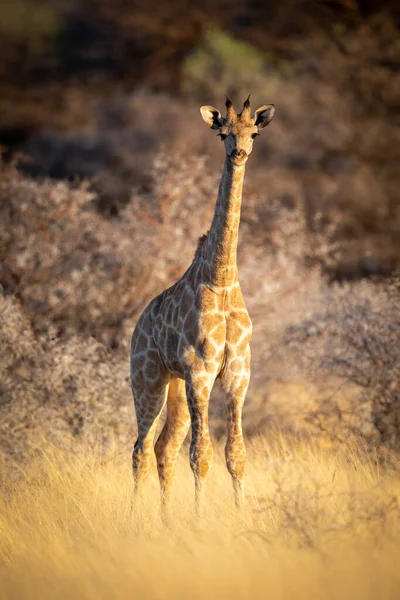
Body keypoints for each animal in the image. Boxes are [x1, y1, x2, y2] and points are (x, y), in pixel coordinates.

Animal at [130, 95, 276, 516]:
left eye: (254, 133)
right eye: (223, 133)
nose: (239, 153)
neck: (222, 279)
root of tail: (139, 323)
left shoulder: (239, 373)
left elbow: (235, 454)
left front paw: (239, 516)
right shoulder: (200, 371)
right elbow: (201, 454)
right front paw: (198, 520)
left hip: (175, 386)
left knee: (163, 447)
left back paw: (164, 521)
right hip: (147, 379)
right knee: (141, 448)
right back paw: (134, 518)